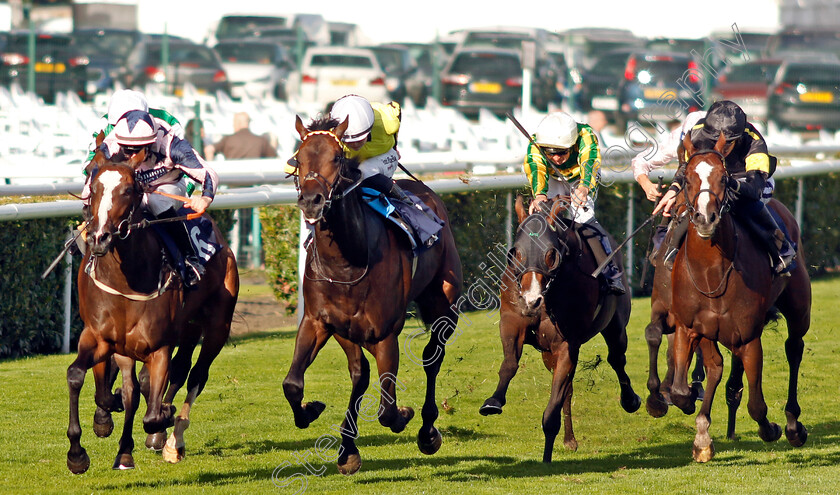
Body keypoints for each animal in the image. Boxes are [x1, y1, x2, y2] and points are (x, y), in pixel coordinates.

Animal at [66, 141, 240, 474]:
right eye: (93, 188)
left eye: (128, 190)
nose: (99, 237)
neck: (126, 280)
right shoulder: (100, 338)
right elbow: (81, 378)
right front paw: (79, 452)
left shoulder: (158, 347)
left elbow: (150, 412)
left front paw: (158, 424)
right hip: (188, 328)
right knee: (172, 373)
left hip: (216, 327)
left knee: (195, 375)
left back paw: (173, 439)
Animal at [286, 116, 462, 476]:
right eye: (298, 159)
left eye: (336, 158)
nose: (311, 201)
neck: (347, 261)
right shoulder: (320, 322)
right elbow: (294, 384)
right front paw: (311, 412)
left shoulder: (384, 335)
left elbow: (387, 409)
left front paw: (405, 416)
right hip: (350, 333)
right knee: (360, 373)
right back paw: (347, 449)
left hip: (444, 305)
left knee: (432, 358)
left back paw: (427, 431)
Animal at [476, 196, 640, 464]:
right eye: (516, 253)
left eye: (550, 254)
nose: (531, 300)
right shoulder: (512, 323)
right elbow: (510, 363)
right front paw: (493, 402)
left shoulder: (567, 344)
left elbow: (553, 406)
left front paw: (546, 457)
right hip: (547, 353)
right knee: (569, 388)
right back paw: (569, 439)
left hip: (616, 325)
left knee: (616, 359)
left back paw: (630, 400)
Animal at [668, 133, 812, 464]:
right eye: (686, 178)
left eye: (723, 178)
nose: (705, 218)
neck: (711, 271)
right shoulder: (691, 326)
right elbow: (682, 390)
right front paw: (701, 433)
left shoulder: (748, 337)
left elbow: (757, 405)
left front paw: (771, 428)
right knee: (717, 366)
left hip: (799, 308)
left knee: (794, 348)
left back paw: (793, 424)